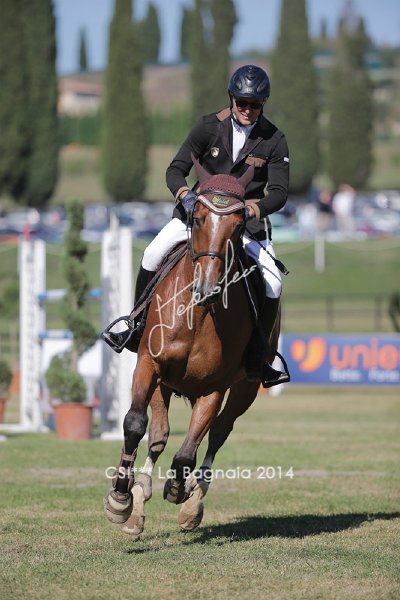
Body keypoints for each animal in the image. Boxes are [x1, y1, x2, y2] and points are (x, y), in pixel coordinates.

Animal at [104, 158, 271, 538]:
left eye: (239, 225)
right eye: (197, 218)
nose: (207, 288)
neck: (198, 314)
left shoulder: (215, 387)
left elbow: (187, 453)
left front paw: (179, 490)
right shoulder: (149, 364)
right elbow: (136, 424)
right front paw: (120, 500)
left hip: (244, 388)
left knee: (217, 434)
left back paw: (193, 501)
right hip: (164, 383)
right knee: (159, 435)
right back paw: (139, 498)